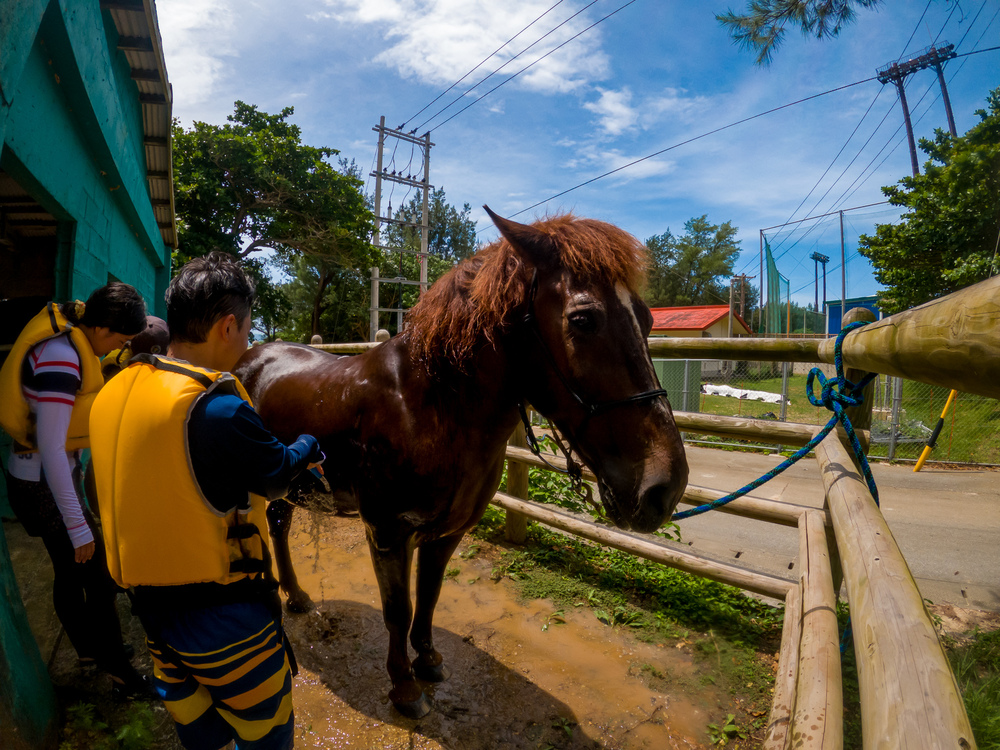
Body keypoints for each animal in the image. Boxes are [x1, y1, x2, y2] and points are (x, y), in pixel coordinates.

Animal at [233, 209, 688, 720]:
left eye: (647, 319)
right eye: (583, 318)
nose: (665, 486)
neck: (428, 408)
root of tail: (252, 356)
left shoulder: (447, 532)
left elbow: (429, 596)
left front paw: (428, 660)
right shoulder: (388, 533)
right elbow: (399, 609)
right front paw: (404, 687)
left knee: (279, 524)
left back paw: (296, 596)